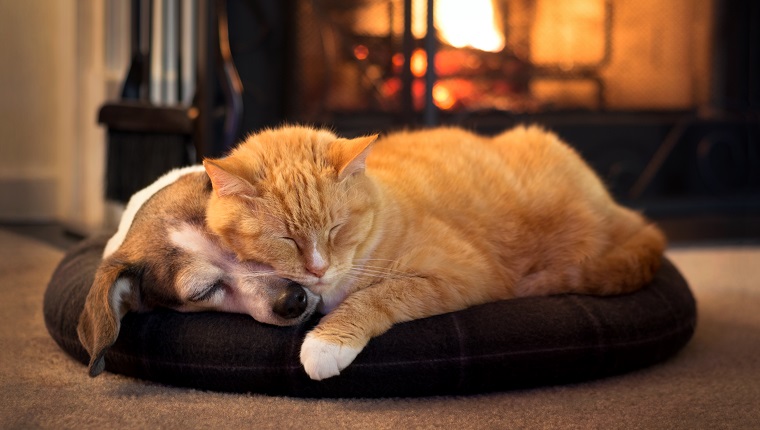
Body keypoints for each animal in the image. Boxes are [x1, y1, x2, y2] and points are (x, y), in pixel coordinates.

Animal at [202, 124, 664, 380]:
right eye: (287, 239)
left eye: (337, 228)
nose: (318, 268)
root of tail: (615, 205)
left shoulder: (461, 275)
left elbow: (376, 296)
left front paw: (326, 342)